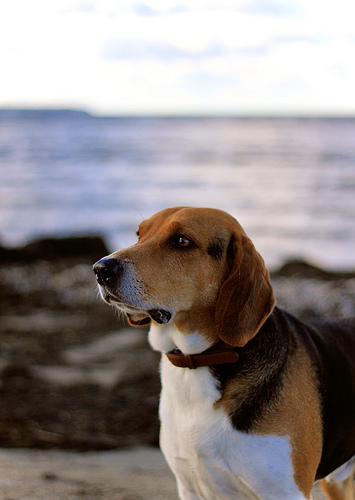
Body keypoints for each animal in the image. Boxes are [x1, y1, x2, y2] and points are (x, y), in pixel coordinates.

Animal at [94, 206, 355, 500]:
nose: (101, 269)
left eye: (182, 241)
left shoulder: (285, 492)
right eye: (139, 234)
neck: (198, 361)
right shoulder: (189, 486)